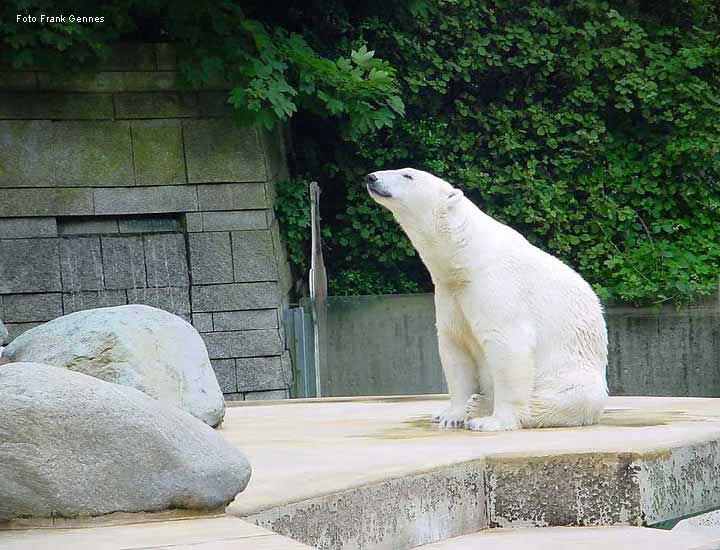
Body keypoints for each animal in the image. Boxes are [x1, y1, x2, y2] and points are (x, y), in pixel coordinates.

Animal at [366, 168, 608, 432]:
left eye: (408, 175)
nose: (371, 177)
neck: (467, 254)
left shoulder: (496, 284)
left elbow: (507, 343)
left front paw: (492, 421)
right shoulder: (450, 291)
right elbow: (455, 347)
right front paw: (452, 415)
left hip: (573, 376)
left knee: (564, 398)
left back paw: (481, 406)